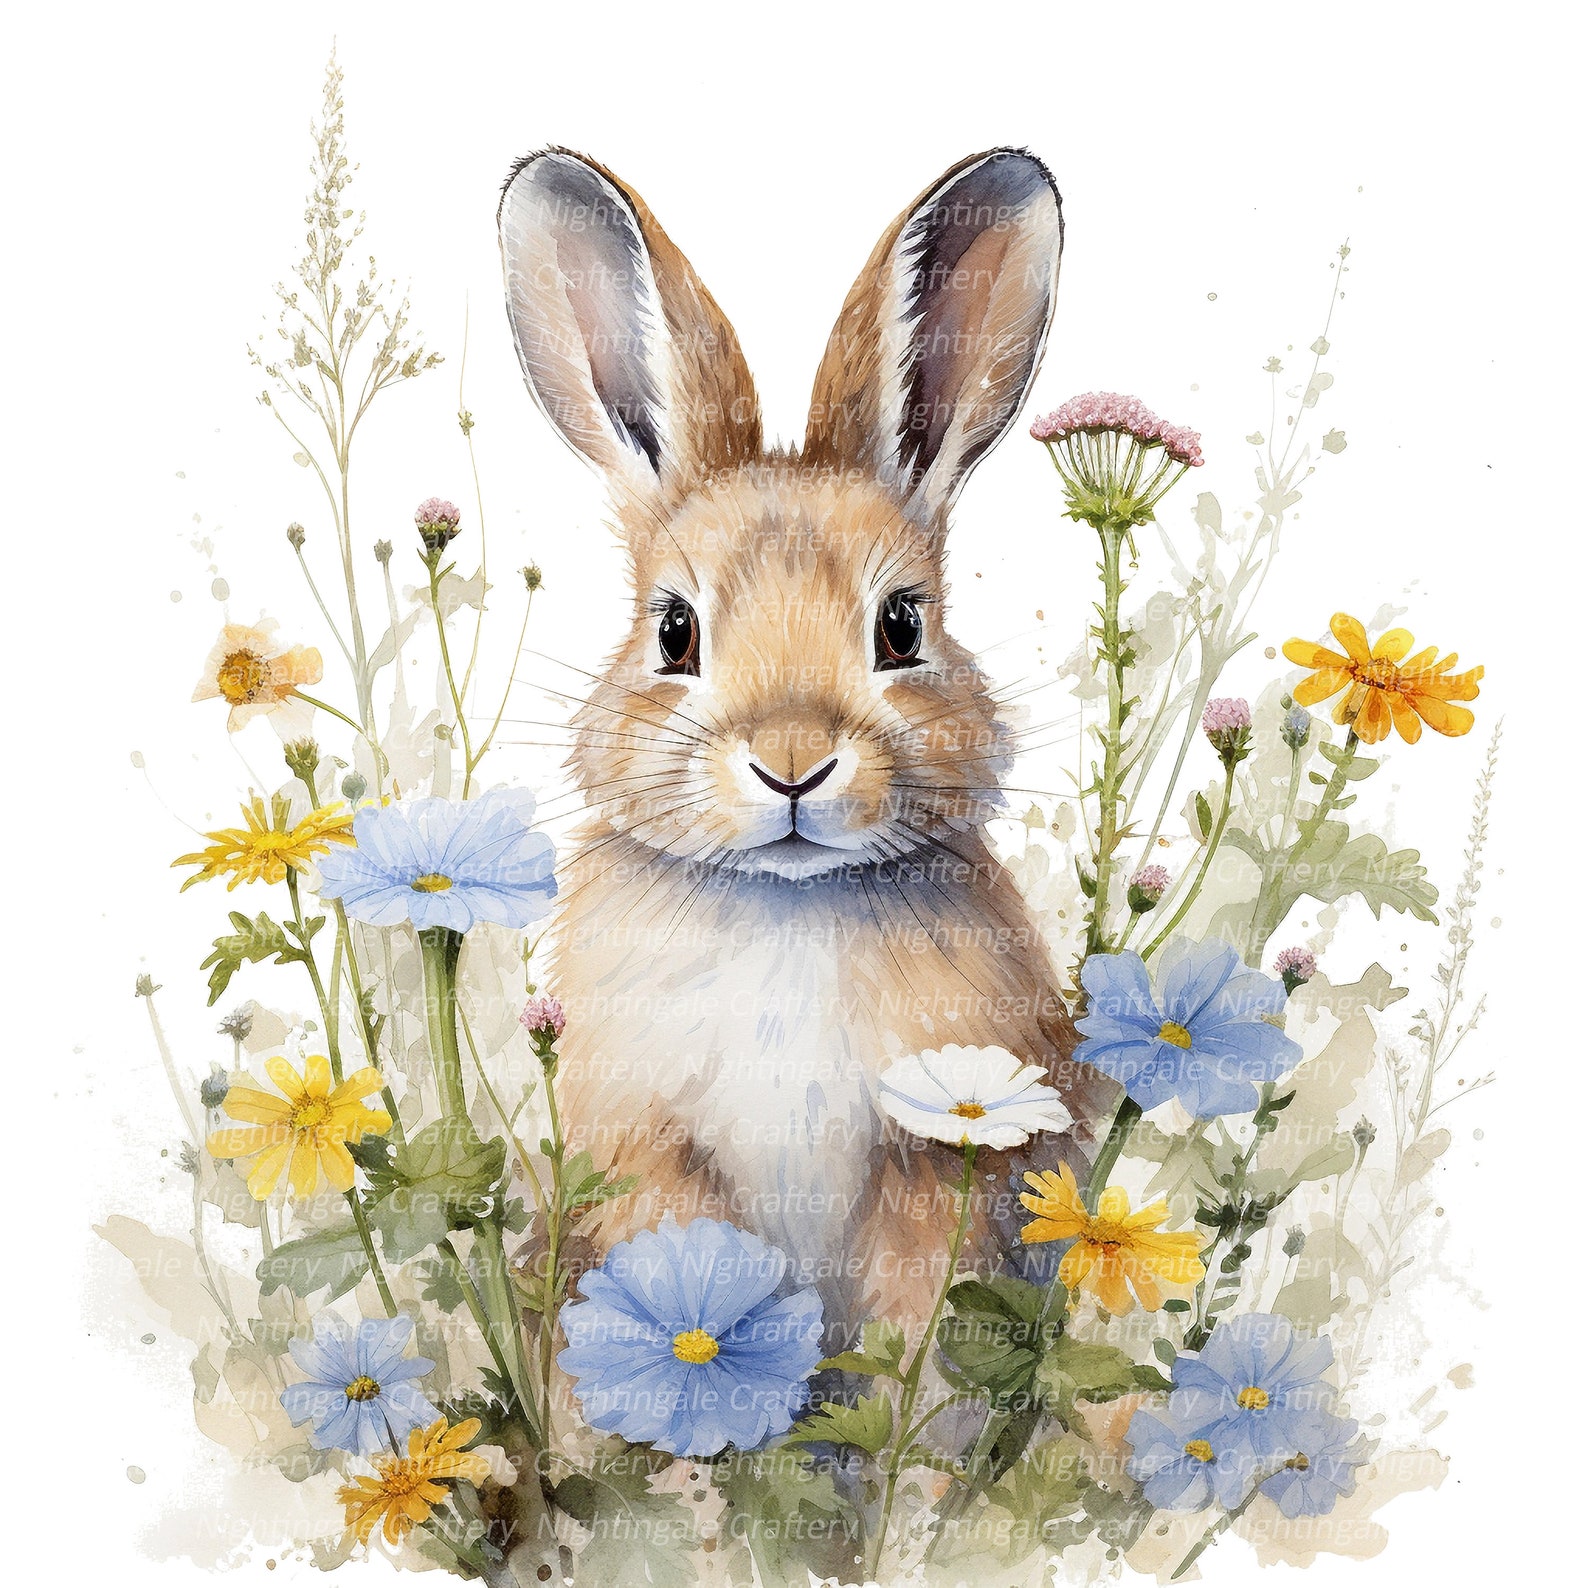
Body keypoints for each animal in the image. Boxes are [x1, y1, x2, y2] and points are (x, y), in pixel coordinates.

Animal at [496, 147, 1112, 1348]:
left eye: (902, 627)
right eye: (674, 632)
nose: (792, 763)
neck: (789, 902)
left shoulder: (936, 1162)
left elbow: (915, 1318)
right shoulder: (645, 1153)